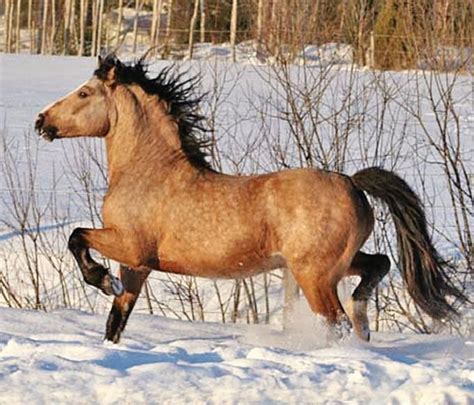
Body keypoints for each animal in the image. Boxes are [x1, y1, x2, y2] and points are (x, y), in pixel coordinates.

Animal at [35, 55, 464, 342]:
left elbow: (76, 236)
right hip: (337, 264)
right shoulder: (137, 267)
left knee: (337, 320)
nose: (41, 122)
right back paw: (364, 322)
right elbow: (115, 321)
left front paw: (100, 279)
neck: (149, 171)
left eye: (84, 93)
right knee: (378, 264)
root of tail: (353, 184)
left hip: (315, 275)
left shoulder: (130, 247)